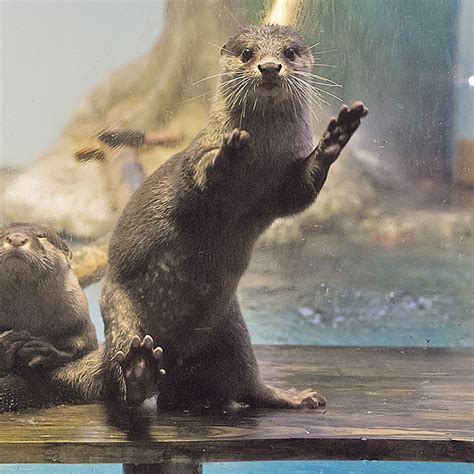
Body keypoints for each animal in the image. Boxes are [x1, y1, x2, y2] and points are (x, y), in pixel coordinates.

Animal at [100, 24, 368, 408]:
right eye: (247, 53)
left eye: (289, 52)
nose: (269, 67)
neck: (261, 161)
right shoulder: (196, 160)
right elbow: (197, 177)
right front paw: (227, 154)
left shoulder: (281, 187)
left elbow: (299, 194)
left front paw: (336, 137)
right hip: (119, 313)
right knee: (125, 379)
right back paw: (138, 373)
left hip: (233, 333)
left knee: (247, 385)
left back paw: (293, 397)